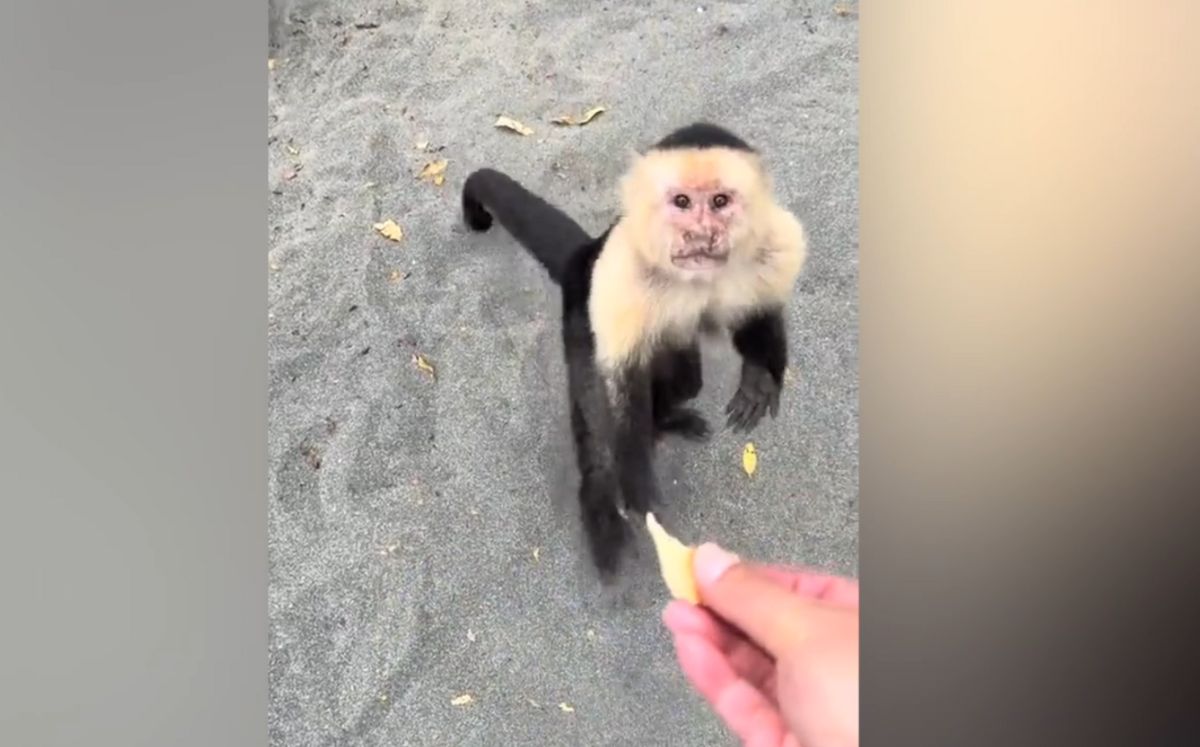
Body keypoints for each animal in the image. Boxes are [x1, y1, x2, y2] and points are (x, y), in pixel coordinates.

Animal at [461, 122, 807, 575]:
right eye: (681, 202)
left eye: (720, 201)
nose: (701, 233)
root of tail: (584, 255)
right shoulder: (623, 274)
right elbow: (619, 383)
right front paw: (633, 490)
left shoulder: (772, 244)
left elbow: (759, 310)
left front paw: (760, 377)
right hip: (583, 310)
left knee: (686, 377)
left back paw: (669, 419)